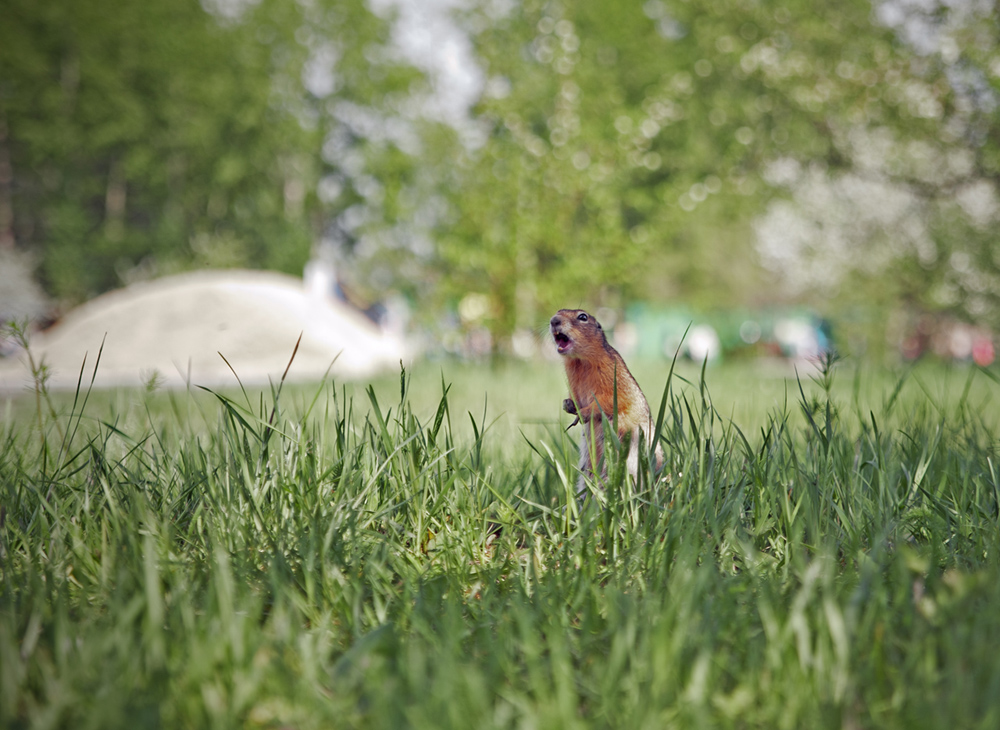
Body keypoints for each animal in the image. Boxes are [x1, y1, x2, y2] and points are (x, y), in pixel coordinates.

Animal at [548, 308, 664, 494]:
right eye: (559, 311)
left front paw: (583, 413)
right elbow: (575, 398)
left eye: (583, 317)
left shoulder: (611, 374)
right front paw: (568, 404)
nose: (554, 320)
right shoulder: (572, 380)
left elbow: (610, 400)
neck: (580, 362)